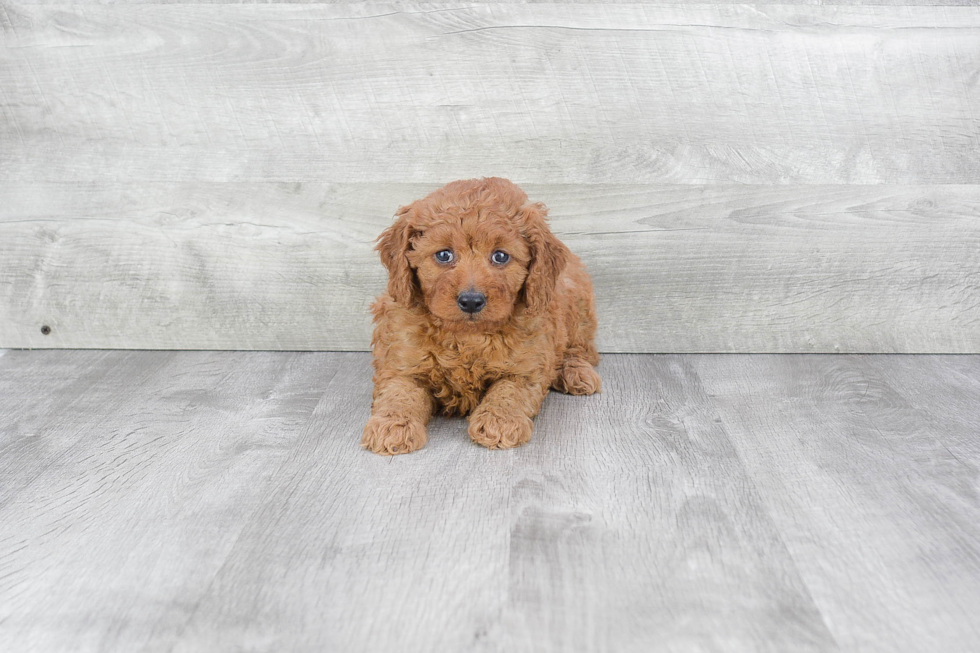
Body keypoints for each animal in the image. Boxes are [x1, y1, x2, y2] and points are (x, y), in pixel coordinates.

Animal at [364, 176, 600, 456]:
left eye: (500, 256)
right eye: (444, 255)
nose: (471, 301)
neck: (467, 336)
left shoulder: (527, 366)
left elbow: (509, 391)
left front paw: (499, 421)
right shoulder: (401, 359)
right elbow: (399, 392)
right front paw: (392, 425)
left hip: (577, 302)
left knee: (580, 348)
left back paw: (575, 373)